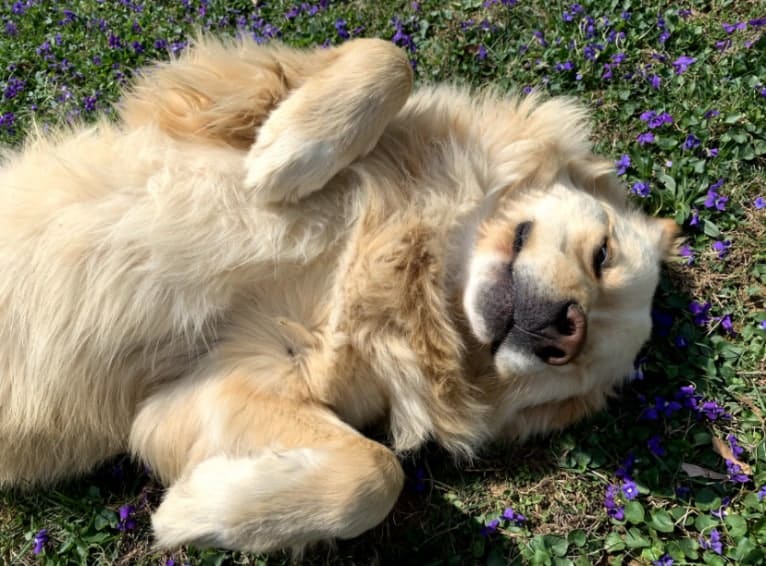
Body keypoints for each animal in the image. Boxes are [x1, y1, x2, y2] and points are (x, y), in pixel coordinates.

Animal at [0, 38, 680, 556]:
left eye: (574, 364)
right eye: (603, 255)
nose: (566, 330)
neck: (419, 259)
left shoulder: (204, 387)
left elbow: (376, 474)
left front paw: (194, 511)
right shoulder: (217, 88)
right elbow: (387, 56)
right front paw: (287, 154)